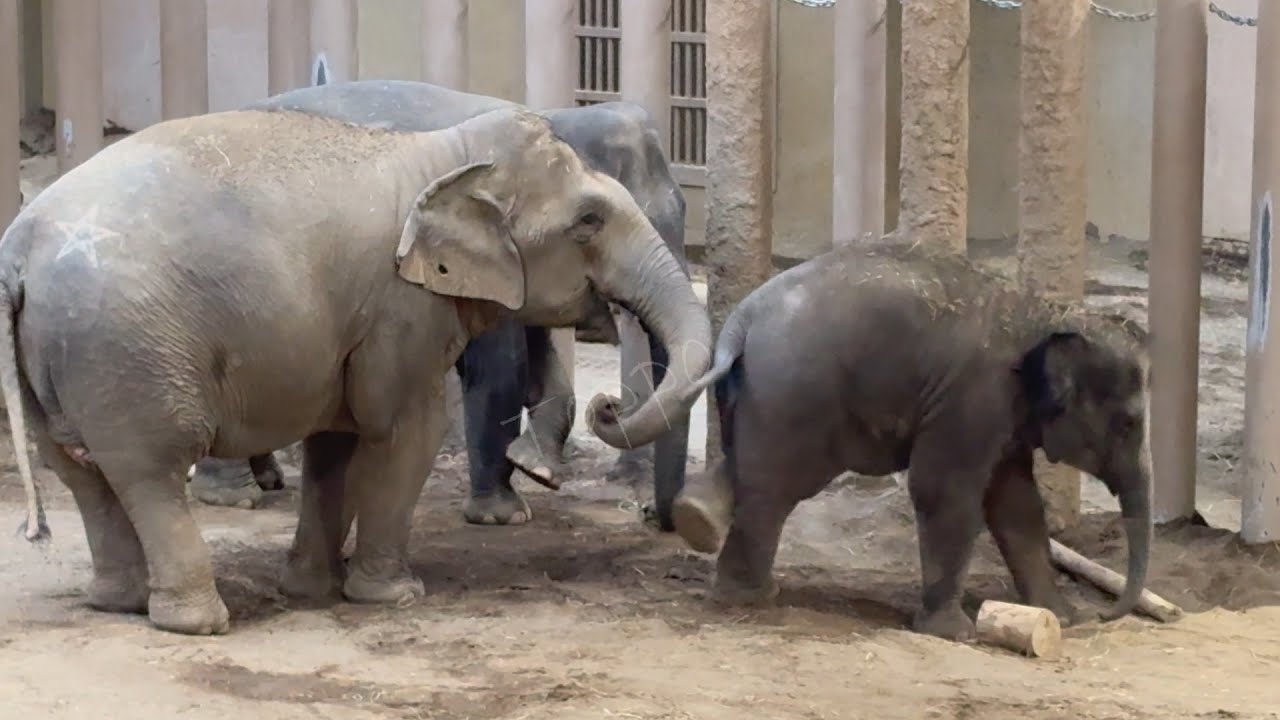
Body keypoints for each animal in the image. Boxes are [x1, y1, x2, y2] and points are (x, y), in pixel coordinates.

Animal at [186, 80, 690, 529]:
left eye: (682, 207)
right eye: (590, 222)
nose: (649, 515)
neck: (553, 116)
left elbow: (540, 361)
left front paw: (536, 468)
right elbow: (504, 366)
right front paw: (502, 515)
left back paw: (268, 479)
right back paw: (234, 497)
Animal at [634, 239, 1152, 642]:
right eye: (1129, 423)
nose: (1105, 614)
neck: (1037, 313)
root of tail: (740, 322)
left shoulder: (1000, 414)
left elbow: (1016, 503)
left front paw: (1062, 617)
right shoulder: (972, 398)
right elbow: (944, 490)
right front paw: (955, 634)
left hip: (756, 395)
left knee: (751, 467)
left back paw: (700, 522)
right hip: (794, 395)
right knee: (775, 488)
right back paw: (750, 597)